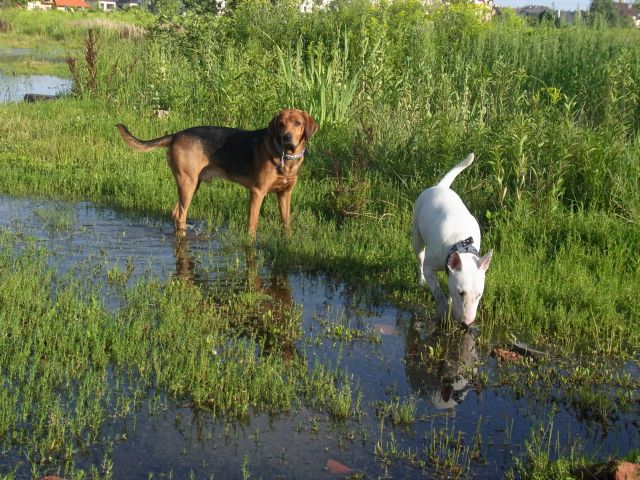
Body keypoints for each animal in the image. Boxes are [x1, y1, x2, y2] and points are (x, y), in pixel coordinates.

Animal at [117, 108, 318, 237]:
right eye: (281, 124)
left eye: (297, 123)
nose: (286, 138)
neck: (285, 155)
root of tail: (175, 135)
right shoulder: (257, 192)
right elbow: (252, 224)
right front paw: (250, 243)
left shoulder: (285, 193)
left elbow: (286, 221)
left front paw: (288, 241)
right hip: (187, 183)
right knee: (180, 214)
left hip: (193, 184)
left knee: (175, 212)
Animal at [412, 154, 492, 326]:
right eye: (461, 293)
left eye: (479, 295)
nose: (466, 323)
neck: (461, 245)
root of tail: (440, 187)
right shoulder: (430, 267)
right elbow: (437, 292)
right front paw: (442, 310)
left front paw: (449, 304)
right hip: (417, 235)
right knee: (420, 258)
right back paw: (420, 280)